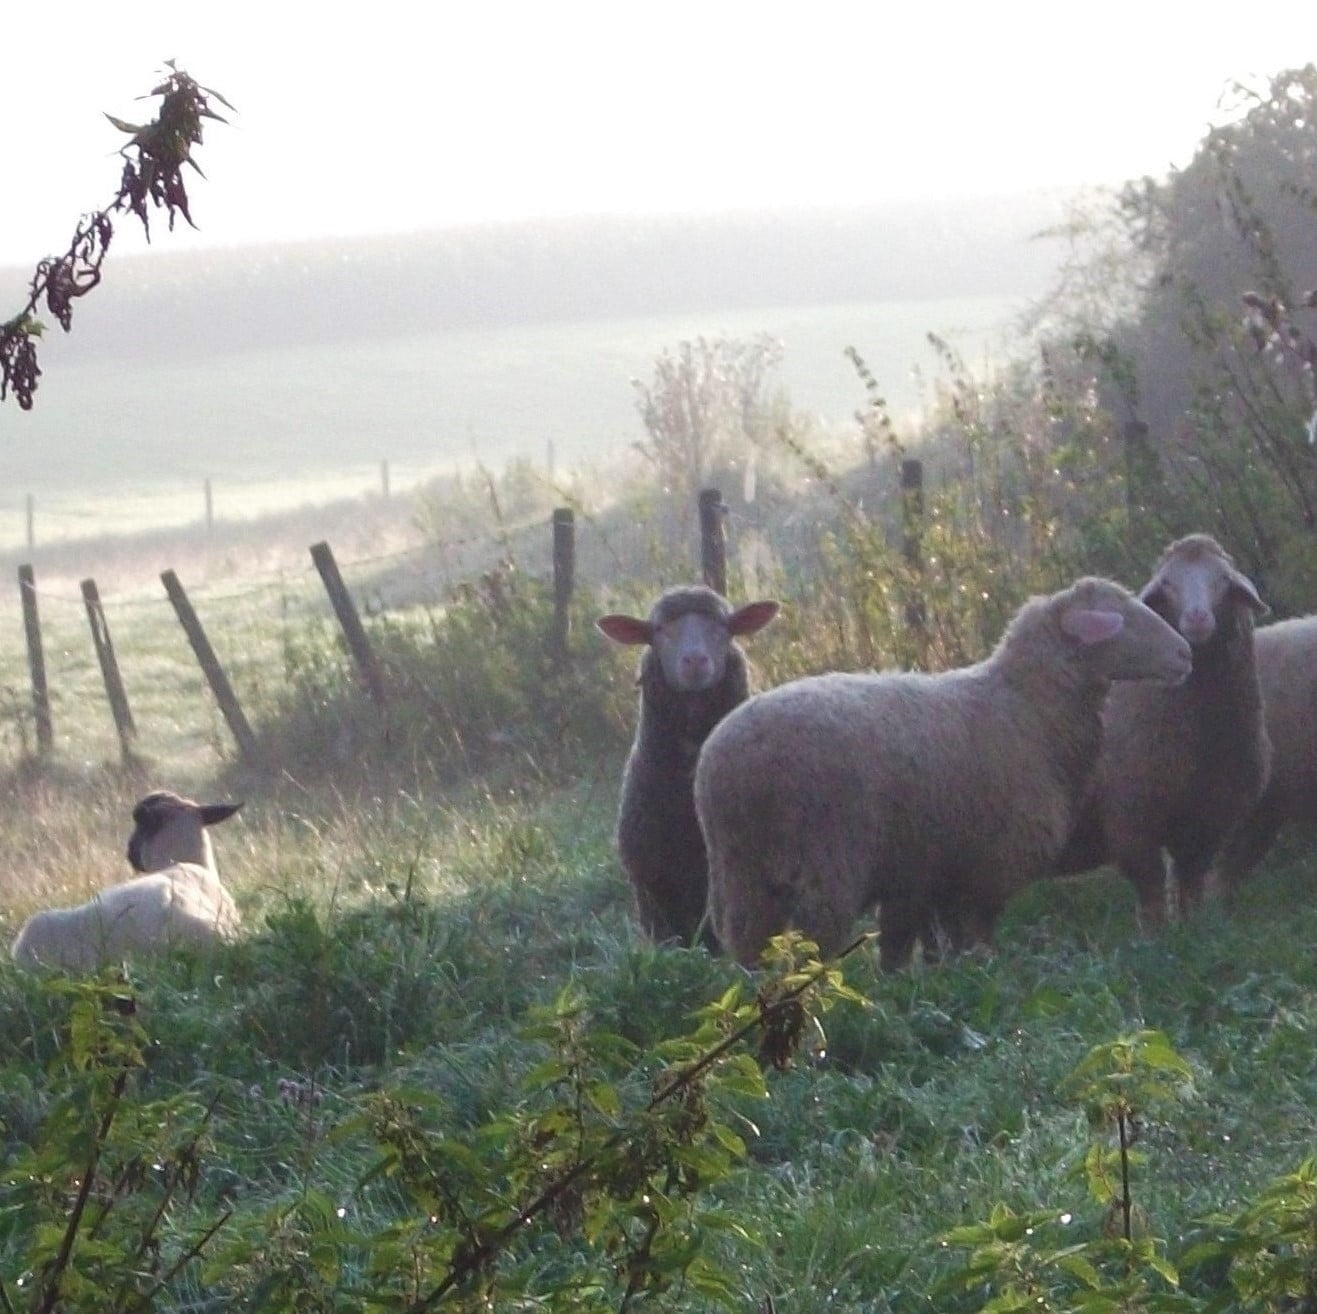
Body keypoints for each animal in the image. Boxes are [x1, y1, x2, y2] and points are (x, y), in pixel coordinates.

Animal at [693, 576, 1192, 970]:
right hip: (824, 864)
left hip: (741, 875)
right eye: (1120, 616)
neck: (1026, 708)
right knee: (811, 948)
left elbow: (910, 949)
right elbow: (973, 942)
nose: (1185, 653)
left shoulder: (928, 873)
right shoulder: (987, 868)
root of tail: (729, 762)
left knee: (749, 951)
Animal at [1055, 535, 1269, 928]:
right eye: (1168, 583)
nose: (1197, 618)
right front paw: (1157, 938)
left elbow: (1191, 887)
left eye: (1222, 579)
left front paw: (1195, 928)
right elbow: (1151, 893)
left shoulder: (1206, 824)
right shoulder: (1131, 823)